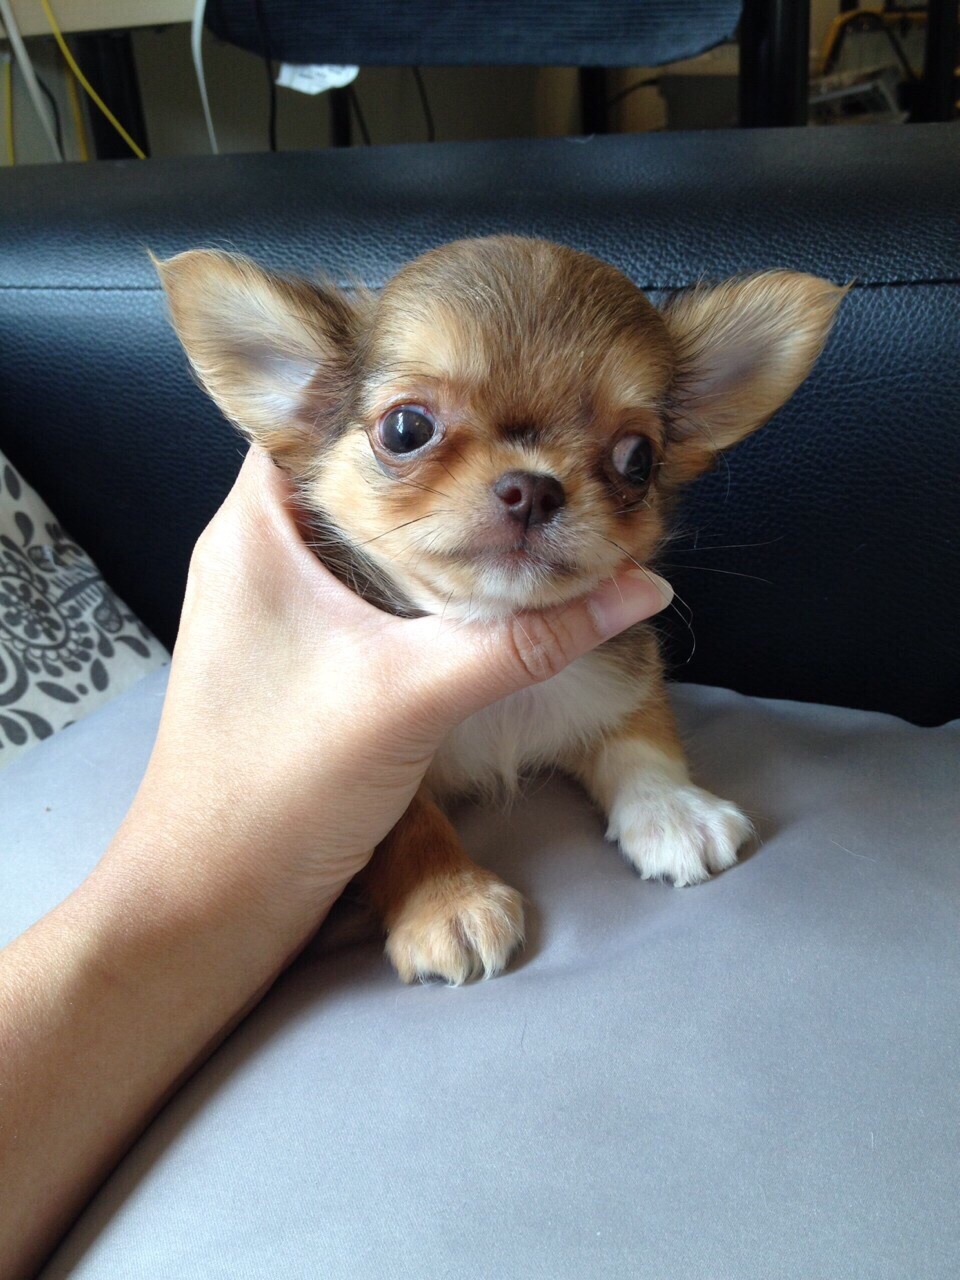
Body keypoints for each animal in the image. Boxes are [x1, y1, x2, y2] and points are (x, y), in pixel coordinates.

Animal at [156, 236, 842, 984]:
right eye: (406, 429)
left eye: (638, 459)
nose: (533, 488)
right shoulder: (370, 763)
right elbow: (403, 824)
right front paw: (448, 901)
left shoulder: (620, 667)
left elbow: (639, 729)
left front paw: (672, 809)